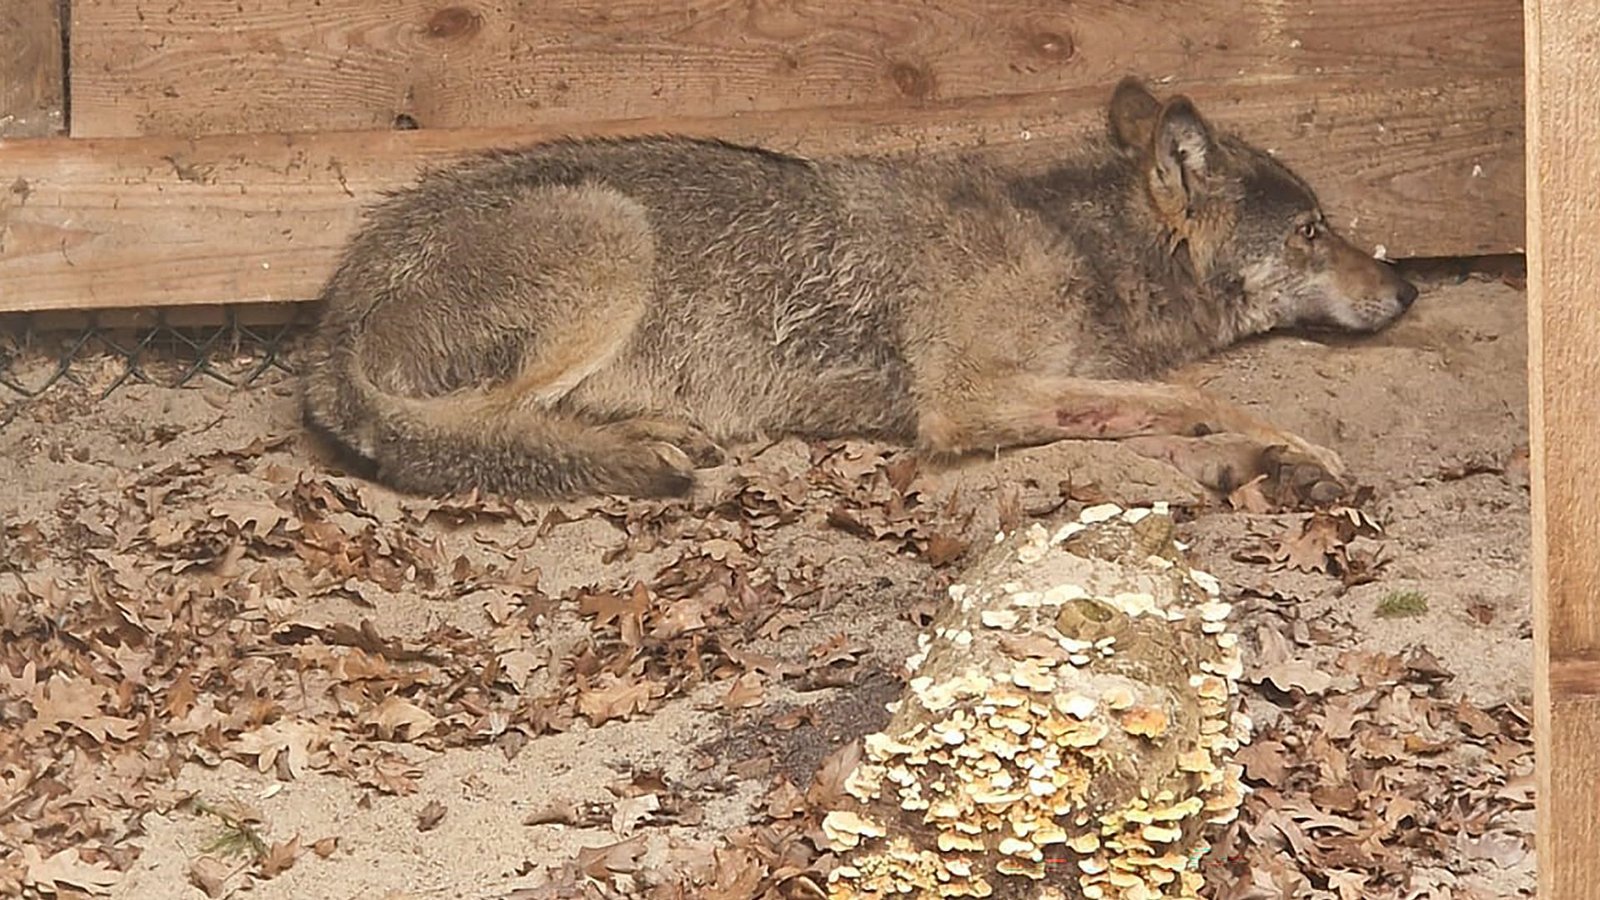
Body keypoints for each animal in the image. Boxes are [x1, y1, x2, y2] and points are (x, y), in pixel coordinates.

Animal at [300, 77, 1417, 501]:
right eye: (1314, 231)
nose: (1407, 289)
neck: (1078, 245)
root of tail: (331, 318)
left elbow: (1153, 409)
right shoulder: (963, 400)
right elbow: (1200, 397)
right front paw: (1294, 450)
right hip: (613, 236)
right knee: (472, 432)